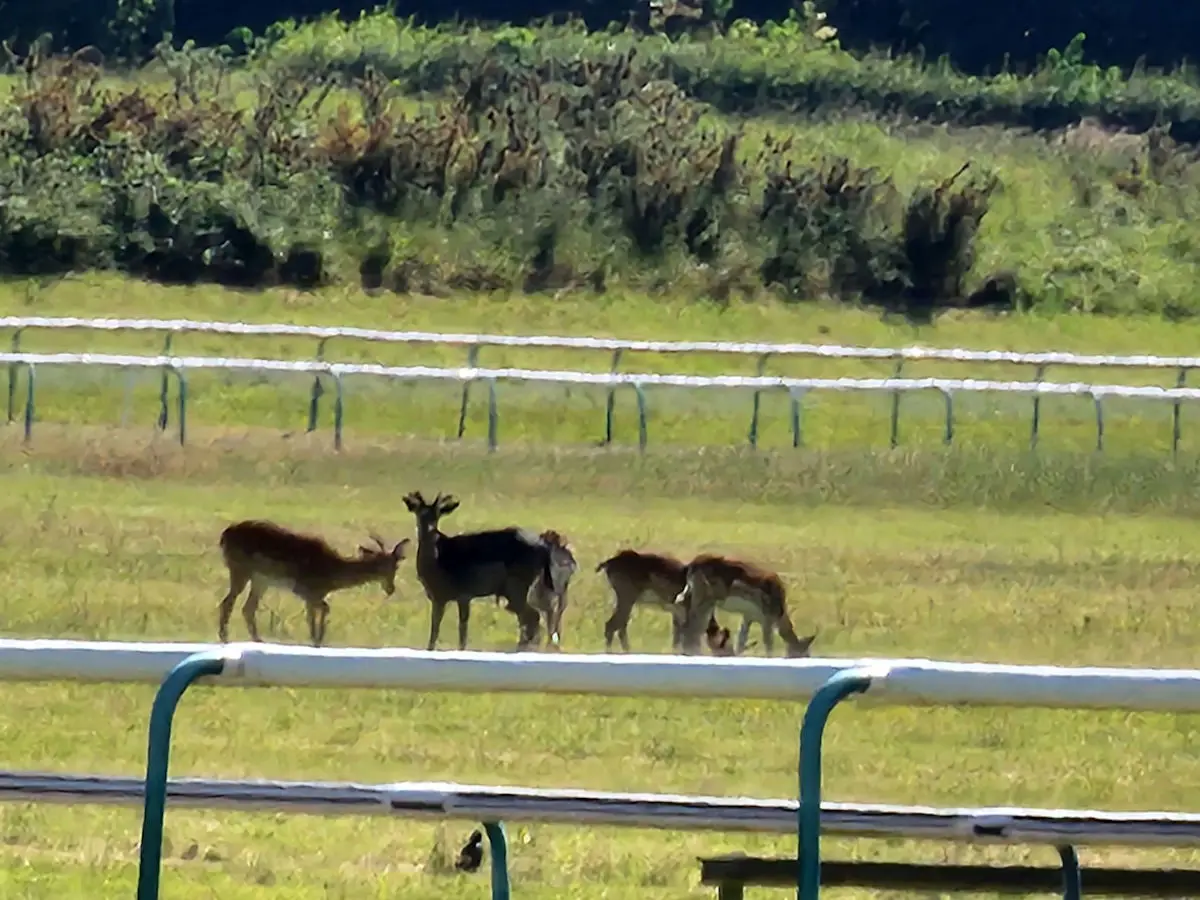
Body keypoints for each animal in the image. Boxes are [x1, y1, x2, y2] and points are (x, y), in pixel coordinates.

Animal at [217, 520, 410, 647]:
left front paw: (317, 640)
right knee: (227, 602)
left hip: (260, 580)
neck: (332, 571)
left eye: (396, 566)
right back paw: (226, 639)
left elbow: (318, 612)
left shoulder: (311, 595)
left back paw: (258, 641)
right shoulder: (305, 590)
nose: (391, 588)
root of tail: (225, 534)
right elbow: (319, 612)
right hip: (240, 570)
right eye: (382, 565)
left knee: (247, 608)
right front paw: (317, 640)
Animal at [402, 491, 571, 652]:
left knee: (533, 617)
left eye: (437, 514)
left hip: (517, 586)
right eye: (419, 513)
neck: (436, 561)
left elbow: (460, 629)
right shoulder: (439, 597)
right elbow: (436, 630)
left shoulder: (463, 594)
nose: (429, 530)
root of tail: (545, 549)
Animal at [673, 553, 817, 658]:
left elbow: (741, 640)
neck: (780, 613)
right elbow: (768, 643)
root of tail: (692, 564)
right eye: (805, 654)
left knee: (682, 610)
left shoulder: (748, 616)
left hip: (689, 593)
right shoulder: (767, 618)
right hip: (705, 598)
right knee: (693, 626)